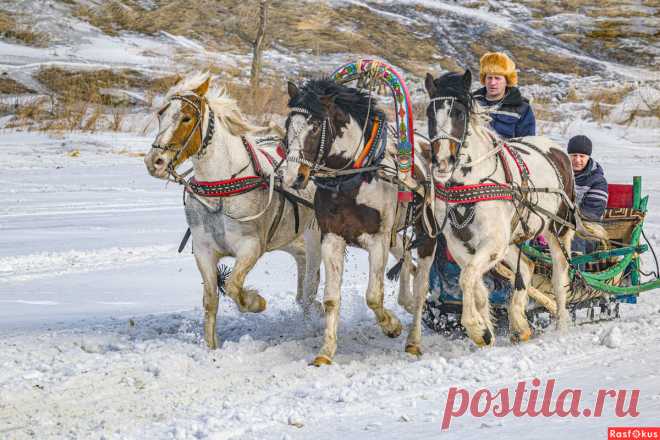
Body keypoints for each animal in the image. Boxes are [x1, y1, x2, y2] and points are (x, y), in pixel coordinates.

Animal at [144, 74, 322, 348]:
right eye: (161, 114)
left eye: (186, 118)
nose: (154, 162)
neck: (221, 189)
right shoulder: (204, 251)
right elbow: (211, 300)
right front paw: (212, 347)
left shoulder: (250, 246)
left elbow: (233, 285)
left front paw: (256, 302)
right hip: (292, 239)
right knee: (304, 275)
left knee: (312, 281)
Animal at [284, 78, 436, 364]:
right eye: (288, 124)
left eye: (315, 126)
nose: (292, 177)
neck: (352, 180)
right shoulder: (331, 237)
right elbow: (331, 298)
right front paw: (326, 351)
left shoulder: (378, 240)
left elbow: (373, 296)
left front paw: (391, 326)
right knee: (406, 257)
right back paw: (406, 300)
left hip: (427, 235)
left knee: (422, 286)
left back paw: (414, 340)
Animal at [426, 70, 604, 348]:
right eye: (429, 114)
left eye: (459, 113)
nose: (442, 163)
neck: (471, 181)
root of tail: (555, 149)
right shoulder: (460, 245)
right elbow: (476, 285)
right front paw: (486, 331)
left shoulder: (492, 242)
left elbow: (468, 277)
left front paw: (475, 328)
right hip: (511, 239)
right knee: (526, 267)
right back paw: (520, 323)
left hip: (558, 231)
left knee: (560, 278)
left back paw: (561, 325)